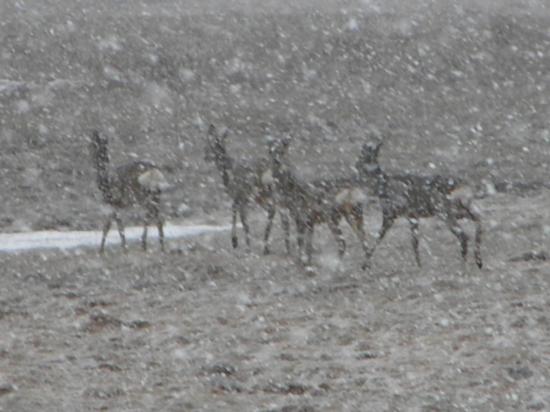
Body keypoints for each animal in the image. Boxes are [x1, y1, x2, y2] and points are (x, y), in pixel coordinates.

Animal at [206, 124, 294, 256]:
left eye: (215, 144)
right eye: (208, 142)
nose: (206, 156)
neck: (229, 171)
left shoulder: (240, 195)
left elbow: (240, 218)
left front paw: (238, 243)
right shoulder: (248, 198)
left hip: (269, 193)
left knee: (279, 216)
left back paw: (270, 247)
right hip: (277, 196)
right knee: (283, 217)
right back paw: (284, 248)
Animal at [268, 136, 370, 268]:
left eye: (281, 151)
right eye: (270, 151)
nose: (276, 161)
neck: (291, 193)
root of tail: (351, 191)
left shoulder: (302, 217)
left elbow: (301, 242)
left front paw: (301, 262)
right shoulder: (309, 221)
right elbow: (308, 246)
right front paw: (308, 263)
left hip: (331, 216)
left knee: (342, 242)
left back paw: (337, 267)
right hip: (354, 214)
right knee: (364, 238)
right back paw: (365, 265)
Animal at [358, 140, 484, 268]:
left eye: (365, 155)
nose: (357, 167)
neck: (383, 185)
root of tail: (466, 188)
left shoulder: (390, 213)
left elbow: (379, 236)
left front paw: (364, 264)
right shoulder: (412, 215)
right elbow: (414, 241)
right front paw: (419, 265)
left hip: (443, 210)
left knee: (464, 235)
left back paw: (463, 265)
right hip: (458, 209)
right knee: (478, 220)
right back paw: (478, 261)